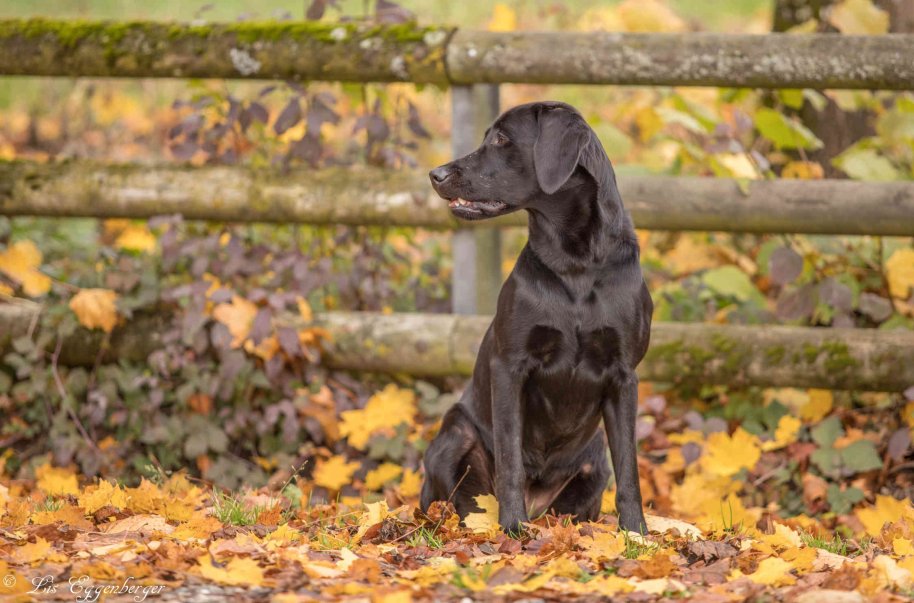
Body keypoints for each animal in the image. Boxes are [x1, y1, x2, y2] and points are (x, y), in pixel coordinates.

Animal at [420, 100, 648, 532]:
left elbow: (629, 468)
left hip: (594, 458)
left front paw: (636, 533)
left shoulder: (624, 374)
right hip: (455, 434)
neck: (575, 263)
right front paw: (512, 528)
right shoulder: (510, 366)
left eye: (501, 139)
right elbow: (510, 458)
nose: (435, 174)